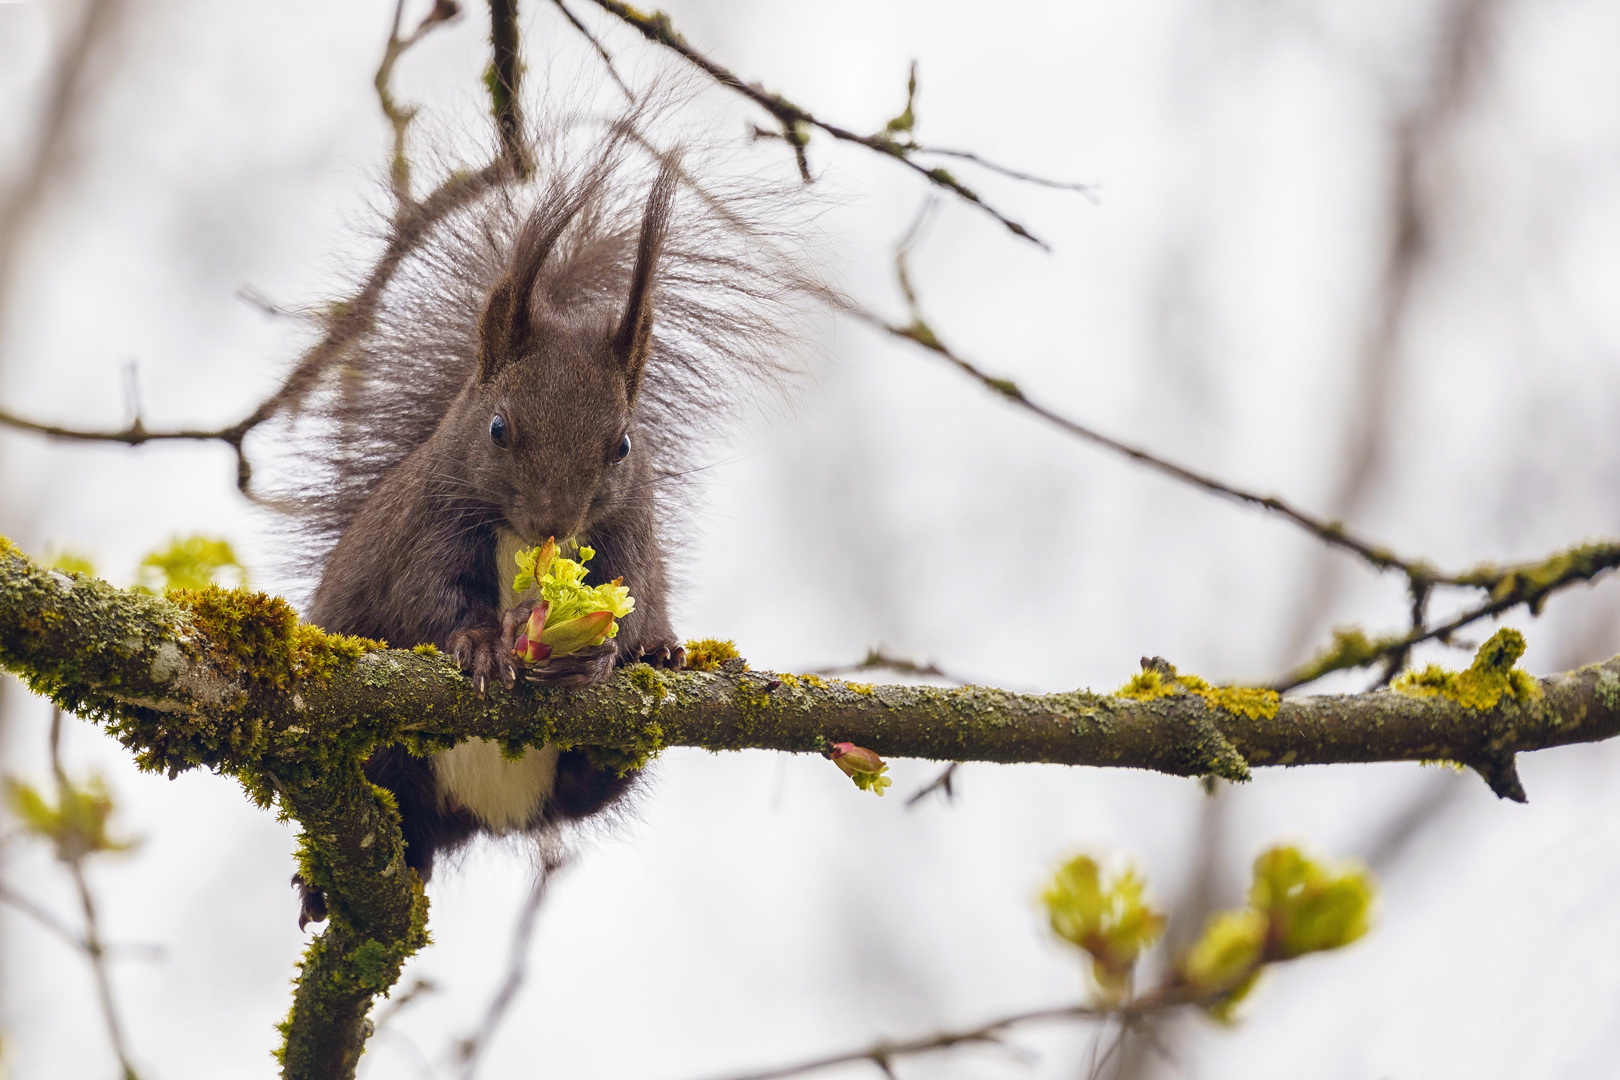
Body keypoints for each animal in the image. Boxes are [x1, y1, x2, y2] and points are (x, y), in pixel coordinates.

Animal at [286, 120, 810, 932]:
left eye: (622, 445)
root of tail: (491, 808)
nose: (553, 521)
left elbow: (633, 596)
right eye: (498, 428)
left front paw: (615, 652)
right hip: (389, 768)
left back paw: (644, 677)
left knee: (589, 788)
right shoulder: (423, 532)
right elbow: (426, 600)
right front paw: (480, 643)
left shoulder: (629, 534)